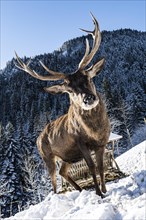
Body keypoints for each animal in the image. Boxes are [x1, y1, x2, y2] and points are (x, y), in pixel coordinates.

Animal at [15, 12, 110, 198]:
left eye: (89, 78)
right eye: (69, 90)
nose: (88, 98)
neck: (95, 131)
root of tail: (38, 138)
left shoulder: (102, 142)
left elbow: (101, 166)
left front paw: (104, 190)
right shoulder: (81, 142)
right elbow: (92, 167)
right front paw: (98, 193)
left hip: (67, 156)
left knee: (63, 172)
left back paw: (80, 190)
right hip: (47, 156)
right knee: (53, 181)